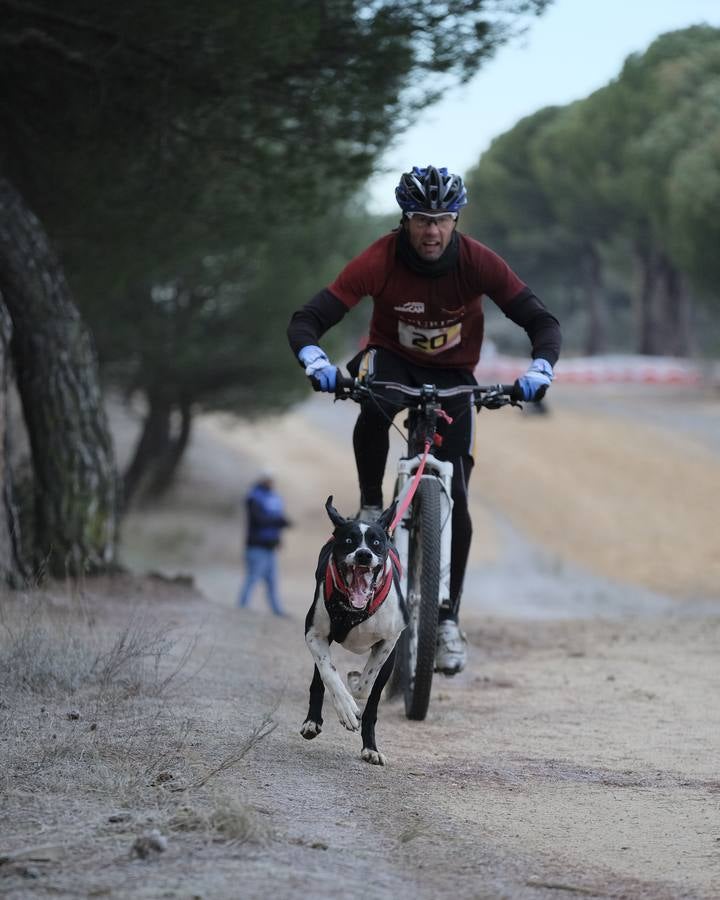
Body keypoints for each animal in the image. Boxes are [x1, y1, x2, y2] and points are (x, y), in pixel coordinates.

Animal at [300, 496, 408, 764]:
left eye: (376, 542)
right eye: (349, 540)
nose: (363, 555)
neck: (356, 608)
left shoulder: (389, 643)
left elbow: (367, 687)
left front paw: (356, 680)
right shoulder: (315, 634)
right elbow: (329, 675)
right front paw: (347, 709)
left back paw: (370, 747)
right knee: (320, 677)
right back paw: (312, 722)